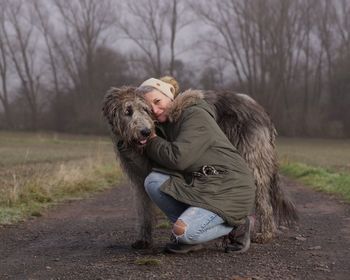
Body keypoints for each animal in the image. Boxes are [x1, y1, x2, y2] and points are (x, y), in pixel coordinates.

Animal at [102, 86, 298, 248]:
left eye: (146, 109)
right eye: (127, 111)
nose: (145, 132)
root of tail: (262, 111)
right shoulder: (137, 176)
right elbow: (143, 208)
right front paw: (143, 239)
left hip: (252, 156)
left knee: (262, 199)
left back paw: (265, 233)